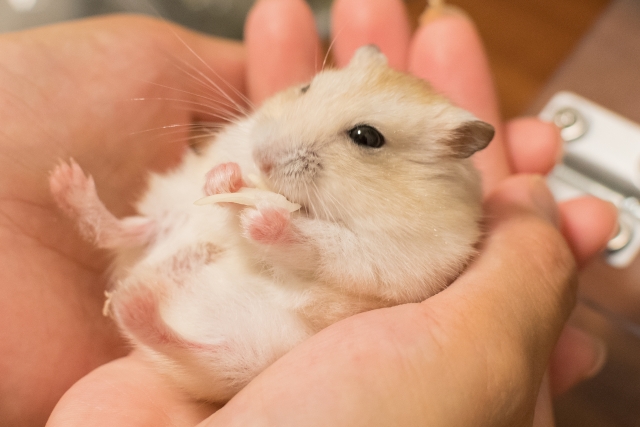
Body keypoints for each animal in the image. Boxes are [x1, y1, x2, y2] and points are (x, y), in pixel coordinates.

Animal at [48, 45, 496, 402]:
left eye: (367, 137)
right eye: (306, 88)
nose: (260, 158)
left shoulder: (389, 258)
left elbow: (319, 245)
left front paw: (262, 218)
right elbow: (222, 193)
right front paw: (226, 178)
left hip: (244, 352)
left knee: (184, 345)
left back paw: (135, 300)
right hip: (174, 210)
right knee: (129, 231)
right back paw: (66, 183)